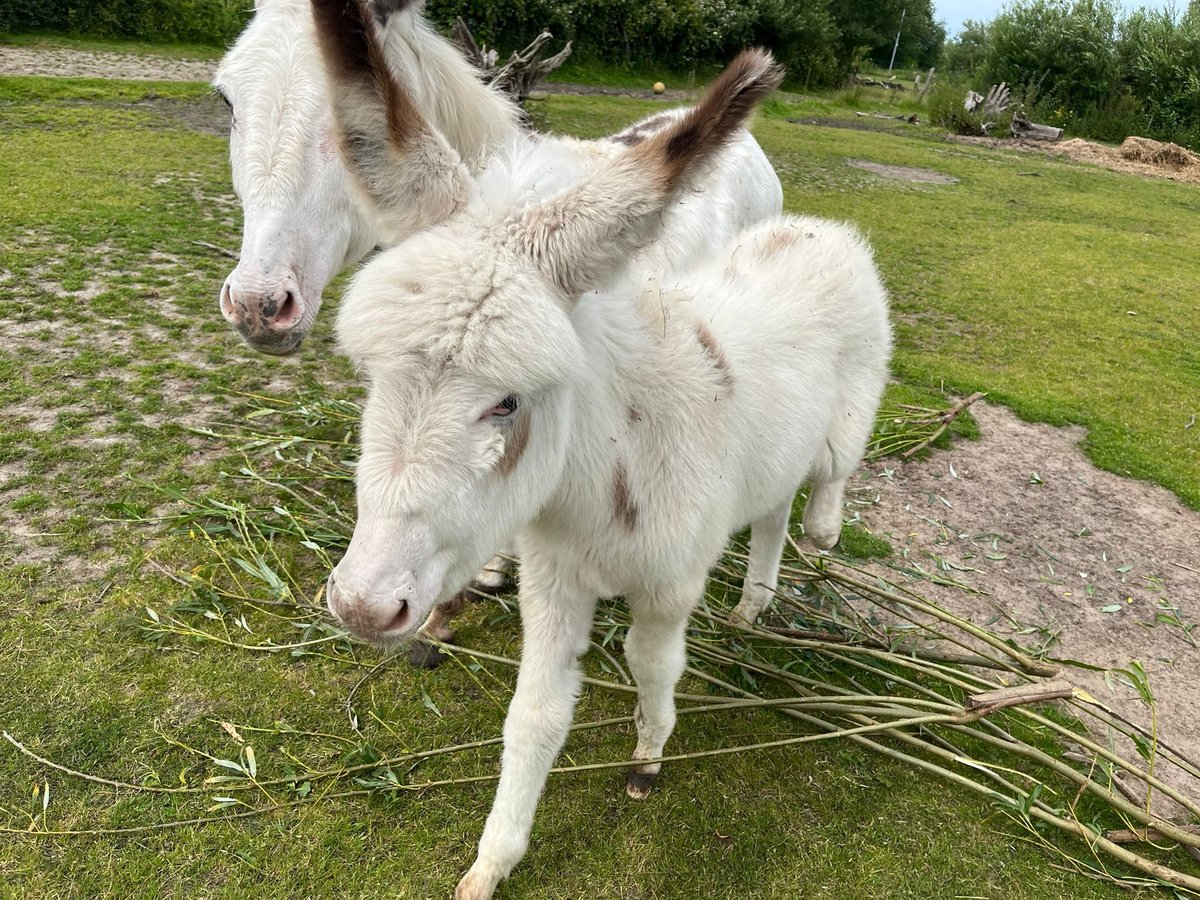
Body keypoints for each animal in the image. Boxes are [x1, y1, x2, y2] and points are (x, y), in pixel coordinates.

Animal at [316, 19, 892, 897]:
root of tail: (820, 230)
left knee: (828, 482)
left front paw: (649, 753)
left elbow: (651, 663)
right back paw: (754, 602)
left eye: (507, 403)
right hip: (771, 453)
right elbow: (535, 716)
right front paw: (492, 861)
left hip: (847, 420)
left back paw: (818, 535)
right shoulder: (554, 583)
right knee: (771, 511)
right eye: (374, 376)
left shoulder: (668, 585)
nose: (363, 607)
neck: (602, 472)